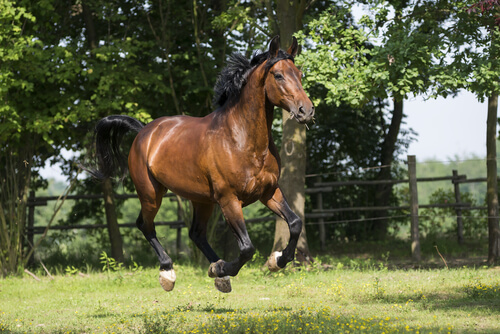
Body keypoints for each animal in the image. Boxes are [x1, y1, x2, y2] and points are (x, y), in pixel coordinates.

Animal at [89, 36, 314, 292]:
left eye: (300, 73)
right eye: (278, 75)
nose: (306, 110)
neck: (241, 139)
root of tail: (144, 132)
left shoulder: (269, 192)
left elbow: (295, 223)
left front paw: (276, 261)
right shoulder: (229, 200)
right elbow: (247, 248)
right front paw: (224, 268)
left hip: (201, 200)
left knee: (196, 233)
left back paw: (218, 273)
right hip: (151, 193)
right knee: (145, 225)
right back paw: (169, 272)